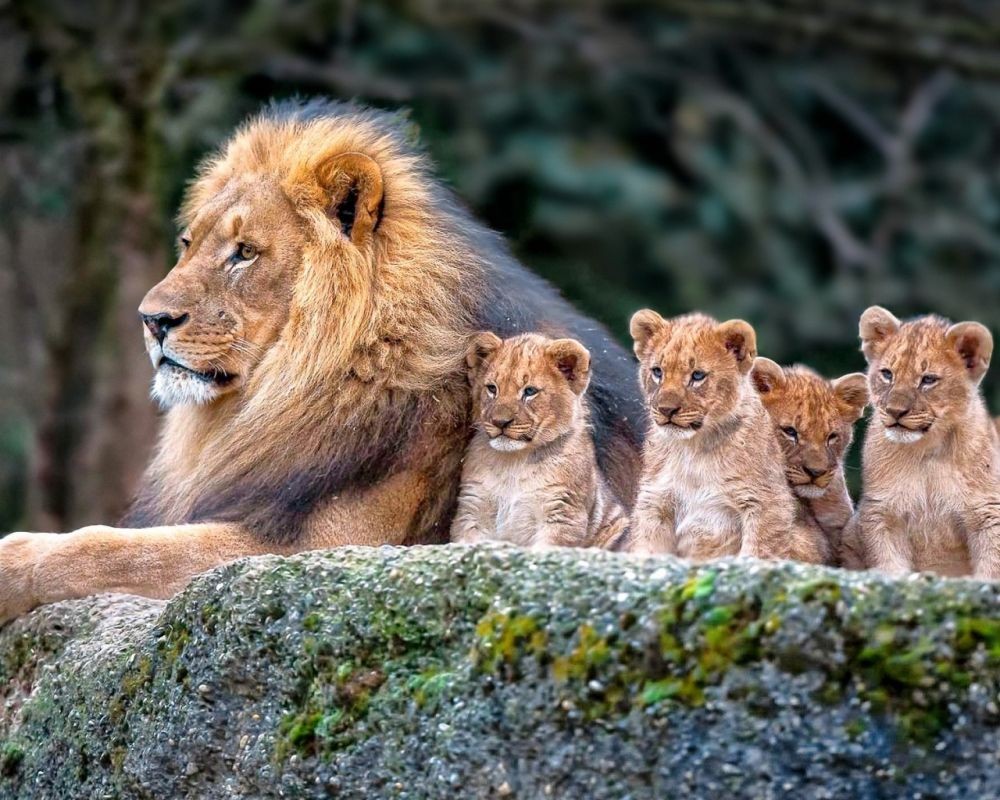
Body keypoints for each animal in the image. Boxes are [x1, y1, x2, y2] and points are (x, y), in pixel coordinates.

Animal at [450, 332, 628, 549]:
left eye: (529, 391)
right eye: (492, 388)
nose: (500, 422)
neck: (513, 463)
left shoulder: (562, 514)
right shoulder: (473, 509)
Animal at [625, 311, 817, 562]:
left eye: (697, 376)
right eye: (658, 372)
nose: (666, 410)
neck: (693, 450)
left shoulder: (767, 503)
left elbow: (758, 552)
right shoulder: (655, 502)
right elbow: (647, 549)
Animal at [854, 306, 1000, 578]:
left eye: (928, 379)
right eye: (887, 374)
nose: (895, 411)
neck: (927, 451)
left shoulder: (987, 512)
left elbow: (991, 567)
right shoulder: (882, 512)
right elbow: (890, 564)